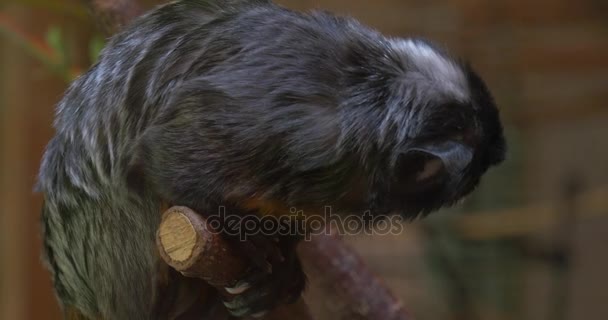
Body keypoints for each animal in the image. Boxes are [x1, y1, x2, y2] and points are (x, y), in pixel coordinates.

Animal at [35, 0, 506, 318]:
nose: (492, 162)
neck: (369, 94)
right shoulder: (296, 126)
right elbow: (165, 155)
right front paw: (245, 237)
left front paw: (282, 270)